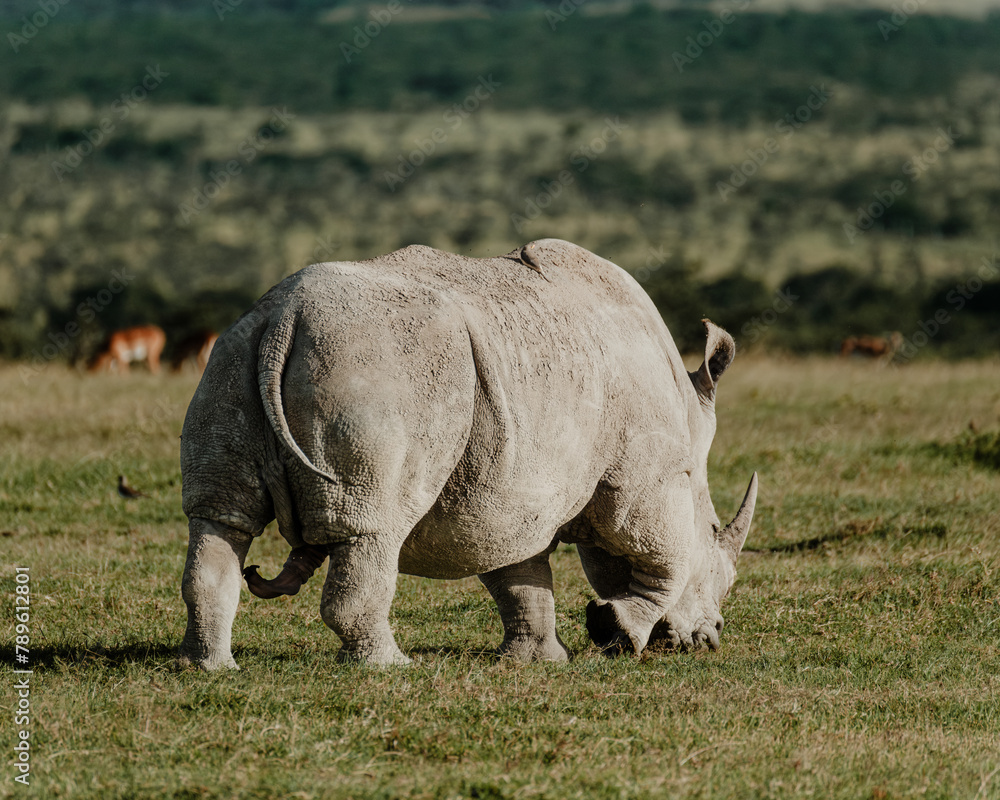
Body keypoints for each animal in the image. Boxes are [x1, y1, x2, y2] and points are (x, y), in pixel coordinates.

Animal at [176, 238, 757, 670]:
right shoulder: (647, 479)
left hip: (233, 355)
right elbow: (666, 560)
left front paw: (540, 662)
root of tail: (285, 316)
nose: (708, 639)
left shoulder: (510, 491)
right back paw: (390, 667)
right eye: (721, 570)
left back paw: (207, 667)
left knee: (220, 518)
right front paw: (615, 632)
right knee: (375, 528)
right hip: (377, 370)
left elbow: (519, 575)